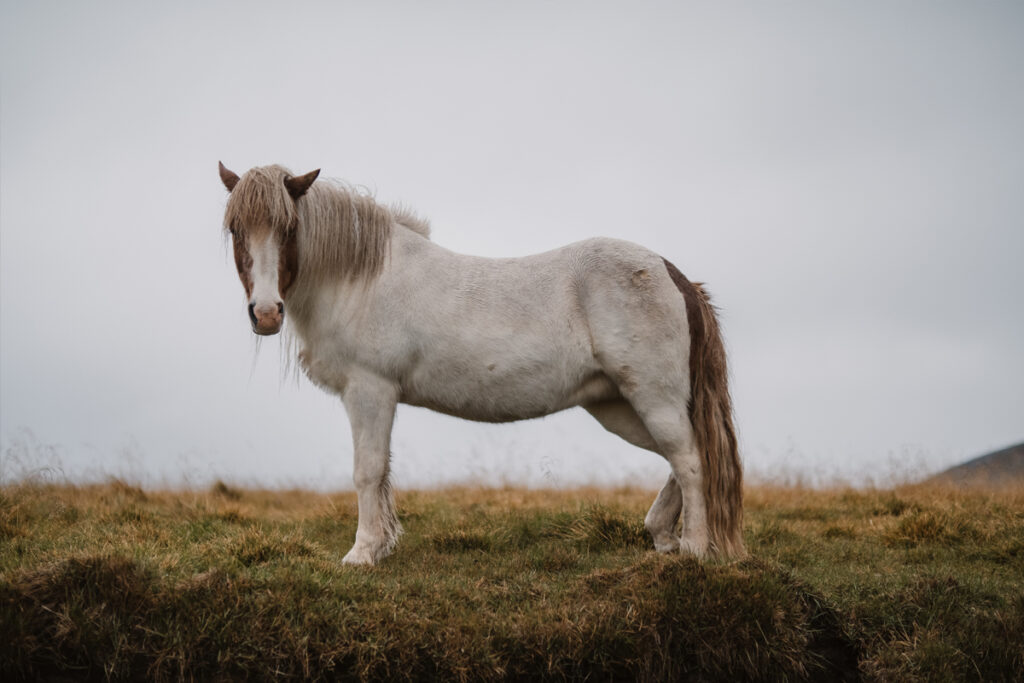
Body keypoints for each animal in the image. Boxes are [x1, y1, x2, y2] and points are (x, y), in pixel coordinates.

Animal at [218, 162, 745, 565]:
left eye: (289, 228)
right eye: (236, 230)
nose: (266, 313)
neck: (360, 279)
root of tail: (673, 274)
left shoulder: (370, 391)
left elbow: (367, 471)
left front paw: (362, 553)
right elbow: (379, 473)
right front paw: (380, 546)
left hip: (652, 396)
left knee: (690, 459)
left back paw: (695, 549)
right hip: (619, 406)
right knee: (682, 455)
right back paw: (663, 535)